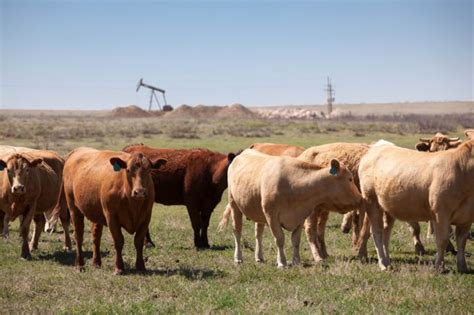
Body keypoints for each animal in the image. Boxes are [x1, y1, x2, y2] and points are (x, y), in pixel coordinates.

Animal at [218, 149, 360, 268]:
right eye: (350, 179)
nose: (359, 198)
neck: (294, 185)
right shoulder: (272, 216)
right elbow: (280, 239)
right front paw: (282, 262)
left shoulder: (300, 216)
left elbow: (296, 241)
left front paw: (297, 261)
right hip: (234, 204)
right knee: (237, 231)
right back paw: (238, 258)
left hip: (258, 211)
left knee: (258, 234)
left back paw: (259, 257)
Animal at [360, 139, 474, 272]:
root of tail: (374, 149)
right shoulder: (441, 212)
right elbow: (442, 240)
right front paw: (439, 267)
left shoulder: (467, 217)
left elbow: (462, 241)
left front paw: (462, 267)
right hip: (371, 201)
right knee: (377, 232)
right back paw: (383, 263)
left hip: (388, 207)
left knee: (385, 233)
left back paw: (388, 261)